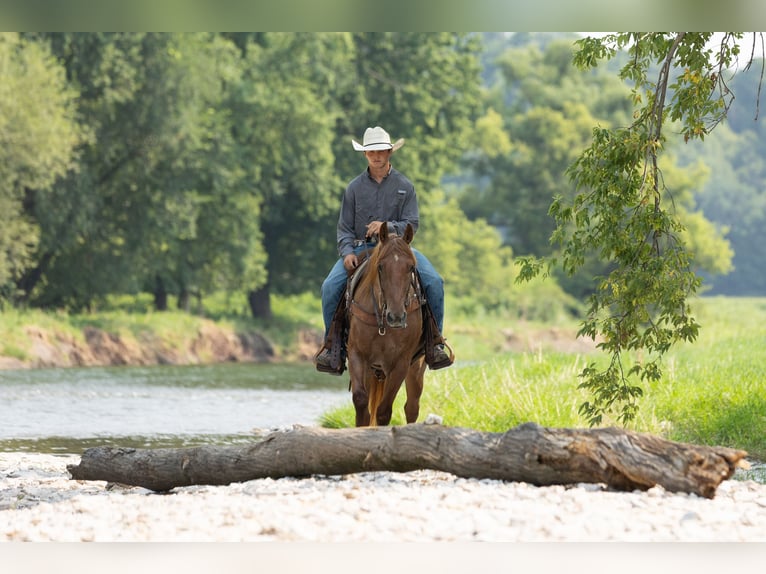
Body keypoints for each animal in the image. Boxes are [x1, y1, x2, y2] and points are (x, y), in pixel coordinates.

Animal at [346, 223, 427, 427]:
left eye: (411, 267)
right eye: (381, 267)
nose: (396, 317)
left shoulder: (400, 363)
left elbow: (383, 411)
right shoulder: (357, 355)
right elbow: (361, 404)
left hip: (416, 367)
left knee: (412, 407)